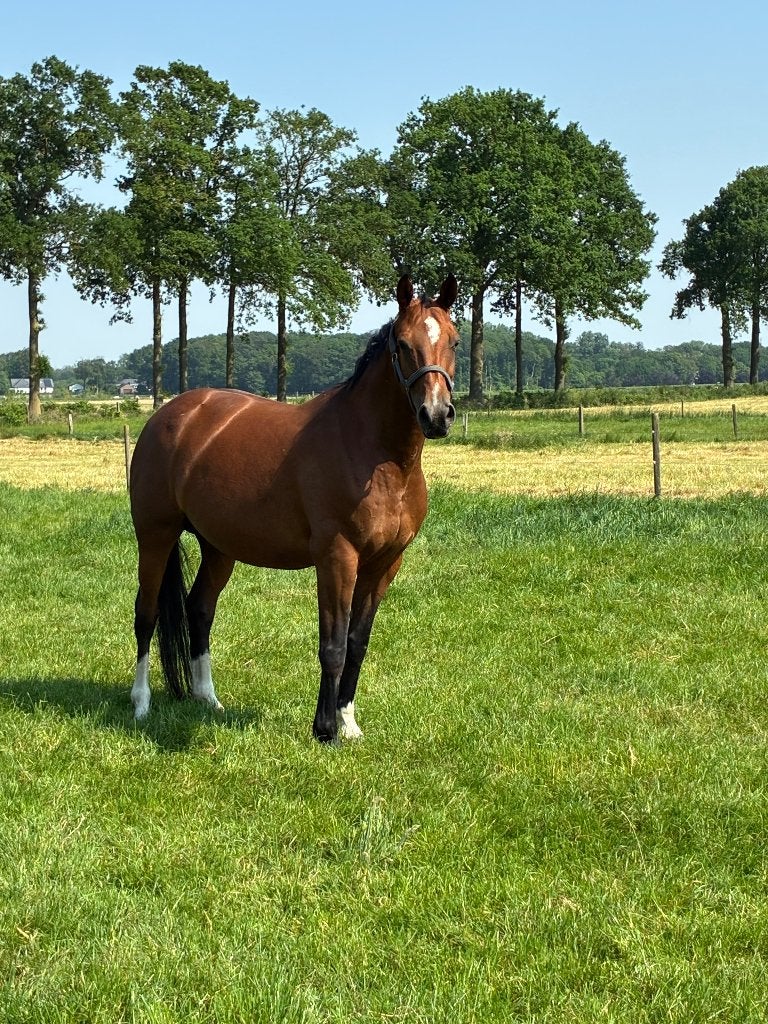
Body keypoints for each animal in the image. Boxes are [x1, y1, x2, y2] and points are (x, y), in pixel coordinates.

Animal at [129, 273, 459, 742]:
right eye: (402, 343)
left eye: (453, 340)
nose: (436, 415)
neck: (376, 456)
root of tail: (169, 414)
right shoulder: (337, 558)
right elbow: (333, 645)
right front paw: (325, 729)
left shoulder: (385, 563)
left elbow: (357, 642)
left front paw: (348, 723)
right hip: (155, 535)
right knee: (147, 613)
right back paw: (140, 704)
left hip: (219, 547)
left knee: (200, 610)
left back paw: (208, 699)